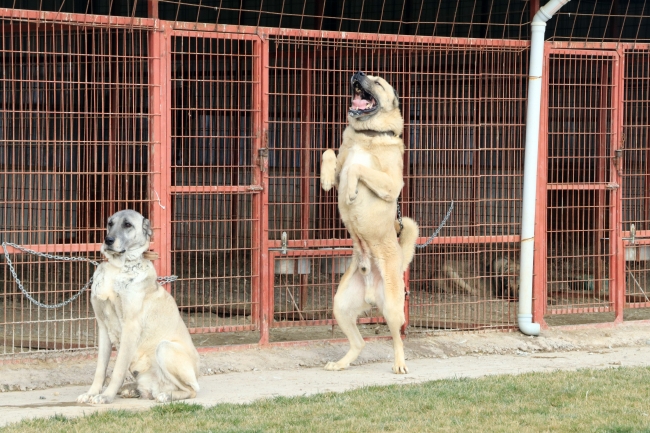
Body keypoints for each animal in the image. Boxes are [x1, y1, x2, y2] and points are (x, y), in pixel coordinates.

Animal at [76, 209, 197, 402]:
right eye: (110, 223)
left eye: (127, 224)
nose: (108, 240)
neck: (118, 267)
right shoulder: (102, 327)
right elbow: (100, 369)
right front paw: (91, 393)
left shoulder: (130, 326)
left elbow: (117, 369)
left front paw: (106, 396)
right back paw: (133, 389)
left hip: (164, 348)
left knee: (191, 390)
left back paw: (165, 395)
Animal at [320, 71, 420, 372]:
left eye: (378, 82)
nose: (356, 73)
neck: (367, 135)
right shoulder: (339, 159)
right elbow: (329, 153)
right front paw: (326, 179)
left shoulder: (391, 184)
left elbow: (356, 167)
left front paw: (351, 191)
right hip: (340, 306)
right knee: (359, 343)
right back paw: (340, 364)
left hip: (393, 308)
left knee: (398, 338)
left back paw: (399, 364)